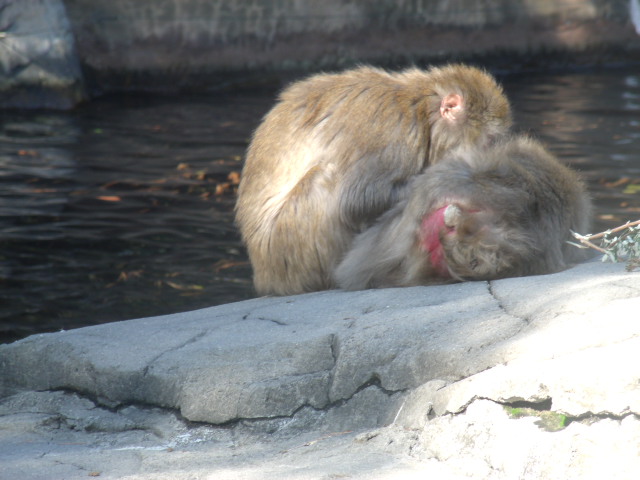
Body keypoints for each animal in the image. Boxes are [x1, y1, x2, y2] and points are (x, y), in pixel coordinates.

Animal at [235, 64, 513, 296]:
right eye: (489, 140)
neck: (422, 111)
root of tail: (265, 278)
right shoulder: (392, 132)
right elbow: (357, 201)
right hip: (290, 254)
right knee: (324, 182)